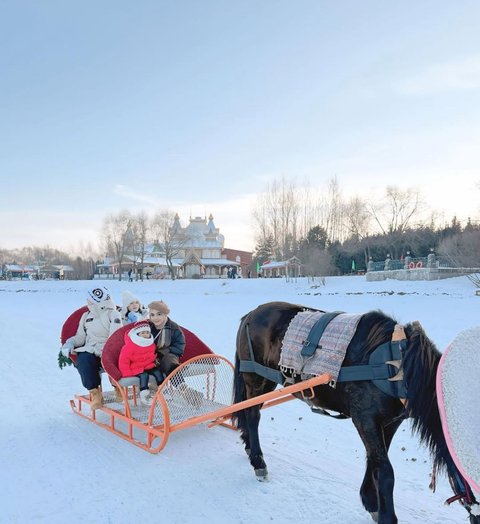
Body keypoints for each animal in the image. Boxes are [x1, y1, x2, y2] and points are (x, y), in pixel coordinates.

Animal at [232, 300, 480, 524]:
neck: (395, 364)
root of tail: (251, 313)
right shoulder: (365, 419)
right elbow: (385, 471)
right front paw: (386, 515)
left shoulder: (389, 422)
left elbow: (375, 462)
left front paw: (371, 502)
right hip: (257, 380)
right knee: (252, 415)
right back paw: (258, 461)